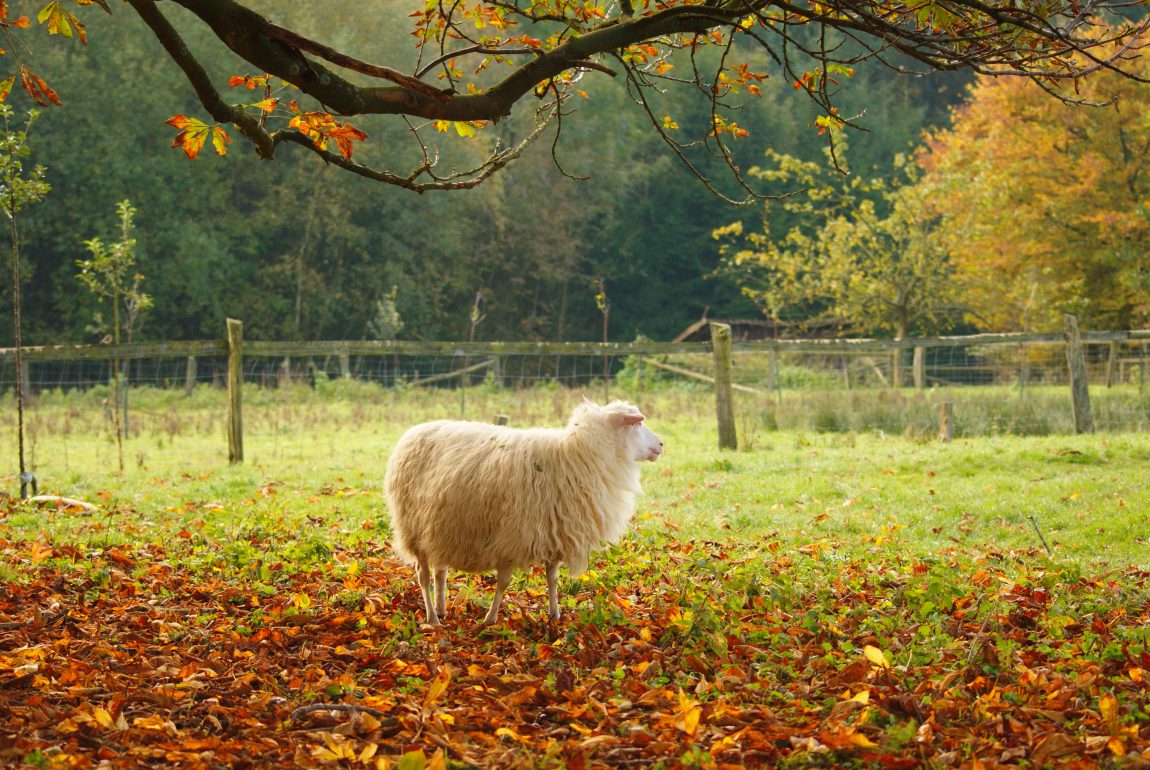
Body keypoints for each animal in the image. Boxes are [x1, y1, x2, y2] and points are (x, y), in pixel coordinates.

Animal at [384, 399, 663, 626]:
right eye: (638, 424)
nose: (661, 444)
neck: (581, 456)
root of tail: (414, 430)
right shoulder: (512, 536)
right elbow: (503, 582)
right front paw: (490, 619)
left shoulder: (555, 532)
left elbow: (552, 578)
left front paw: (554, 614)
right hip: (413, 529)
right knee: (423, 575)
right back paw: (432, 617)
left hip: (440, 527)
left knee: (440, 572)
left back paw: (441, 608)